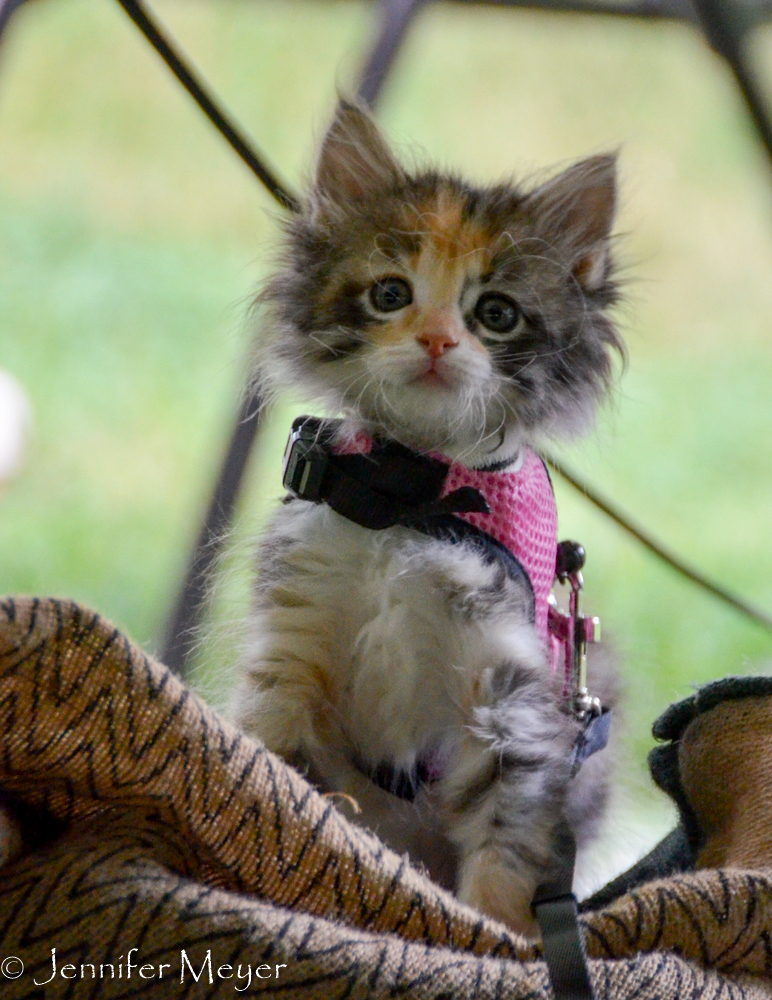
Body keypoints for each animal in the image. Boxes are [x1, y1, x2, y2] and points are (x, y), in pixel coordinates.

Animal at [232, 97, 624, 932]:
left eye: (496, 314)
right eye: (390, 294)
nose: (439, 339)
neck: (412, 492)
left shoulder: (511, 700)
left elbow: (507, 846)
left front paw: (493, 935)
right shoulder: (290, 640)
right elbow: (272, 767)